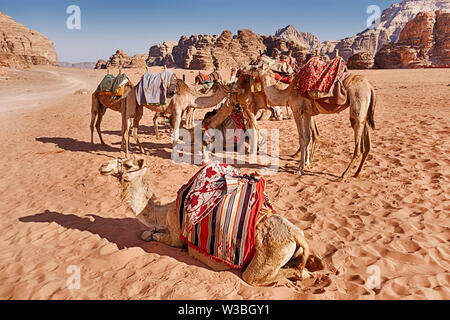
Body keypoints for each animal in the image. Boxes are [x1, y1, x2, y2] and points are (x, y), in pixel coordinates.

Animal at [98, 157, 324, 284]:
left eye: (128, 164)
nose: (102, 166)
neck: (165, 211)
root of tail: (295, 235)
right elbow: (147, 232)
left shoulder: (177, 238)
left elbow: (151, 236)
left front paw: (151, 233)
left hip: (269, 254)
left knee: (254, 277)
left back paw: (304, 275)